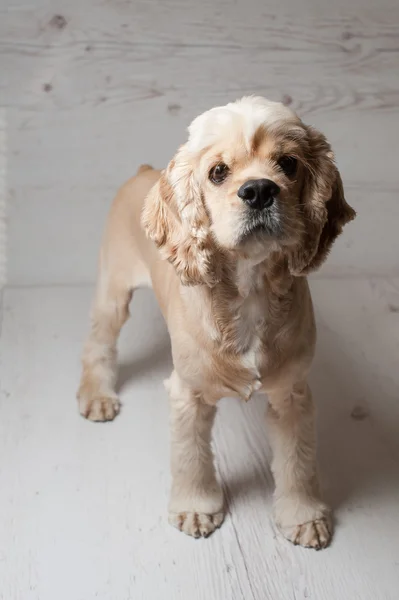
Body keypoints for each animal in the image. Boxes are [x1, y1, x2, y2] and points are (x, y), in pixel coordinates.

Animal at [77, 97, 356, 548]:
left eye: (288, 164)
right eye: (218, 172)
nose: (259, 190)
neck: (249, 288)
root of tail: (143, 171)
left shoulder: (292, 394)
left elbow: (298, 459)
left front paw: (303, 516)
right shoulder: (187, 394)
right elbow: (190, 456)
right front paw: (195, 507)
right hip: (113, 288)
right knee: (99, 339)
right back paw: (97, 395)